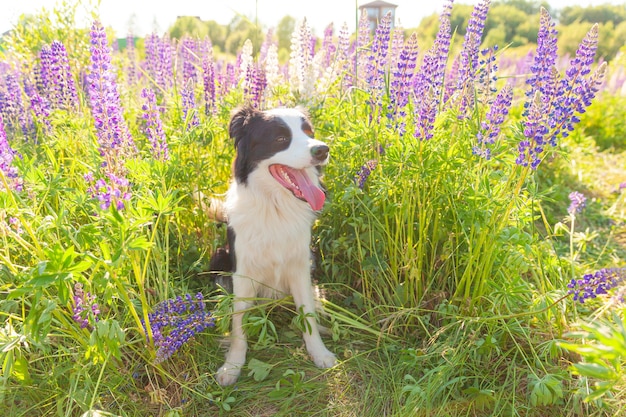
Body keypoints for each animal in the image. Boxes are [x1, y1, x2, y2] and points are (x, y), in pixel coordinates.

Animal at [211, 105, 336, 386]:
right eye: (281, 139)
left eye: (308, 132)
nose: (322, 150)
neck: (275, 207)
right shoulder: (242, 272)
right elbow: (239, 323)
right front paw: (232, 365)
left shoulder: (301, 264)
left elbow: (308, 314)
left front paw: (319, 353)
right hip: (219, 258)